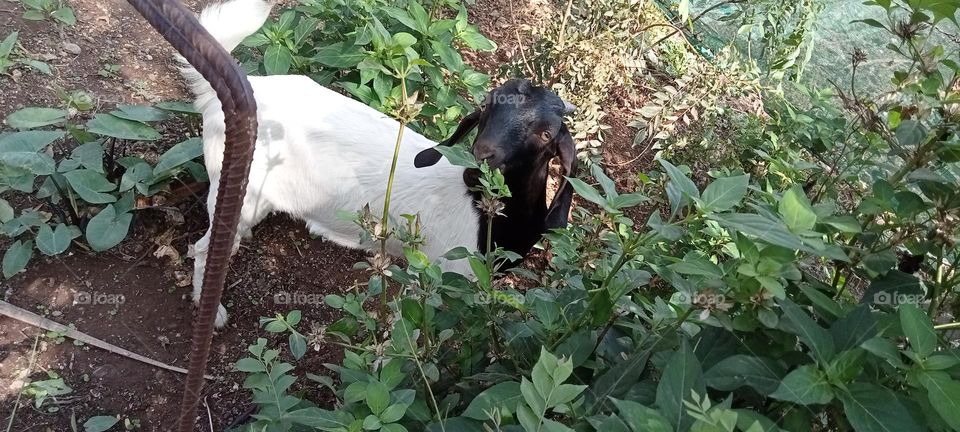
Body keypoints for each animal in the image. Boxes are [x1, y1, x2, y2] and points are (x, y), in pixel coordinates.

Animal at [182, 0, 578, 327]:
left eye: (546, 133)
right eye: (485, 113)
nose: (480, 156)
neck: (484, 212)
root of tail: (232, 93)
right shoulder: (437, 273)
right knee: (202, 249)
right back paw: (212, 312)